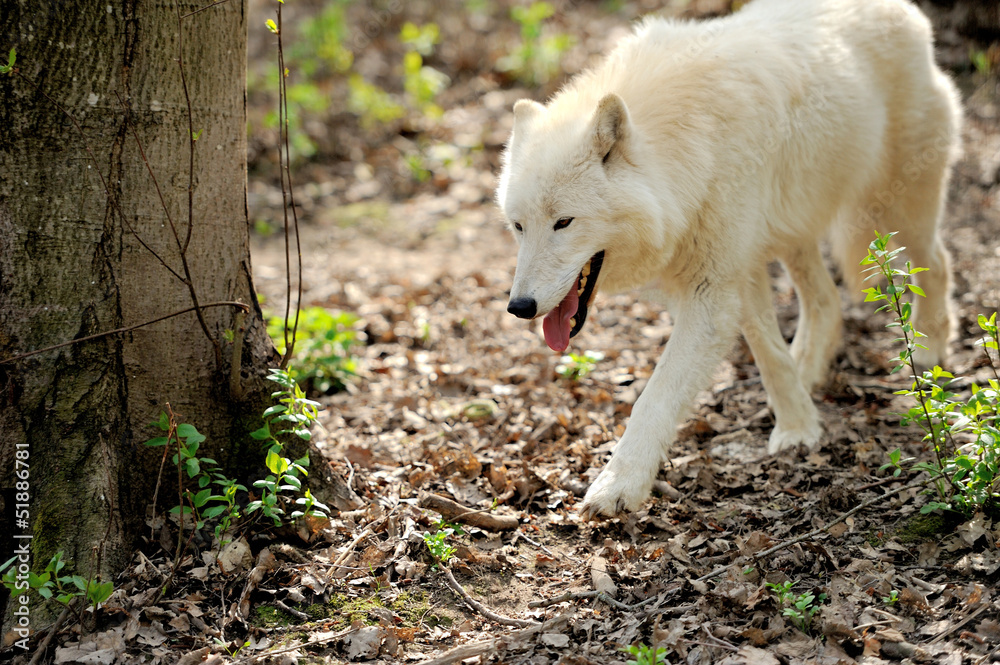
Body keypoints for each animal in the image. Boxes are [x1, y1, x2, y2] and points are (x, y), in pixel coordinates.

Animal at [495, 0, 962, 517]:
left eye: (564, 222)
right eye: (519, 226)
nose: (519, 307)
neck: (685, 152)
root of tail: (908, 13)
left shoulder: (716, 286)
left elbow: (654, 398)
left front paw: (619, 485)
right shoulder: (732, 274)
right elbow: (768, 352)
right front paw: (799, 425)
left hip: (896, 212)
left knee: (938, 262)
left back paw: (931, 348)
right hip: (793, 234)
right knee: (825, 302)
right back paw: (810, 369)